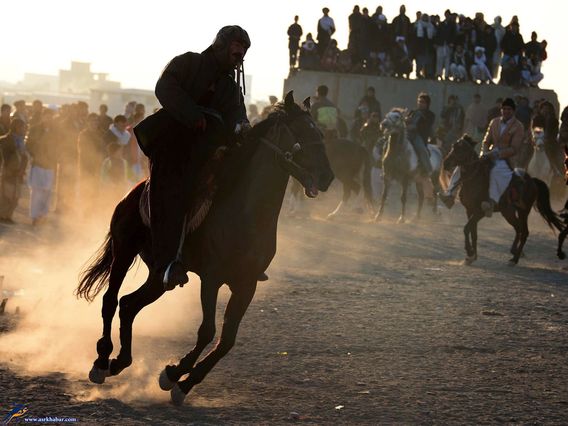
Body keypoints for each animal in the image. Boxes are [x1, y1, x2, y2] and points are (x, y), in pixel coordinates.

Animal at [75, 93, 332, 406]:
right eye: (302, 133)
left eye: (320, 133)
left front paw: (183, 382)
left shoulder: (246, 284)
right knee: (111, 300)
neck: (247, 213)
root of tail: (133, 193)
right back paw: (101, 361)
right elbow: (207, 331)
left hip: (161, 276)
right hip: (124, 252)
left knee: (128, 305)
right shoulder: (211, 279)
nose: (328, 177)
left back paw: (119, 362)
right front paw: (173, 374)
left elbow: (227, 340)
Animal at [446, 135, 564, 264]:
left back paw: (515, 258)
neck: (475, 179)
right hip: (509, 212)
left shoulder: (480, 212)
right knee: (518, 229)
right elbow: (473, 232)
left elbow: (466, 228)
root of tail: (532, 181)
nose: (446, 163)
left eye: (461, 149)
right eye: (453, 147)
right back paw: (514, 252)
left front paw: (469, 251)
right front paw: (472, 255)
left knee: (524, 231)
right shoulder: (469, 210)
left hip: (523, 211)